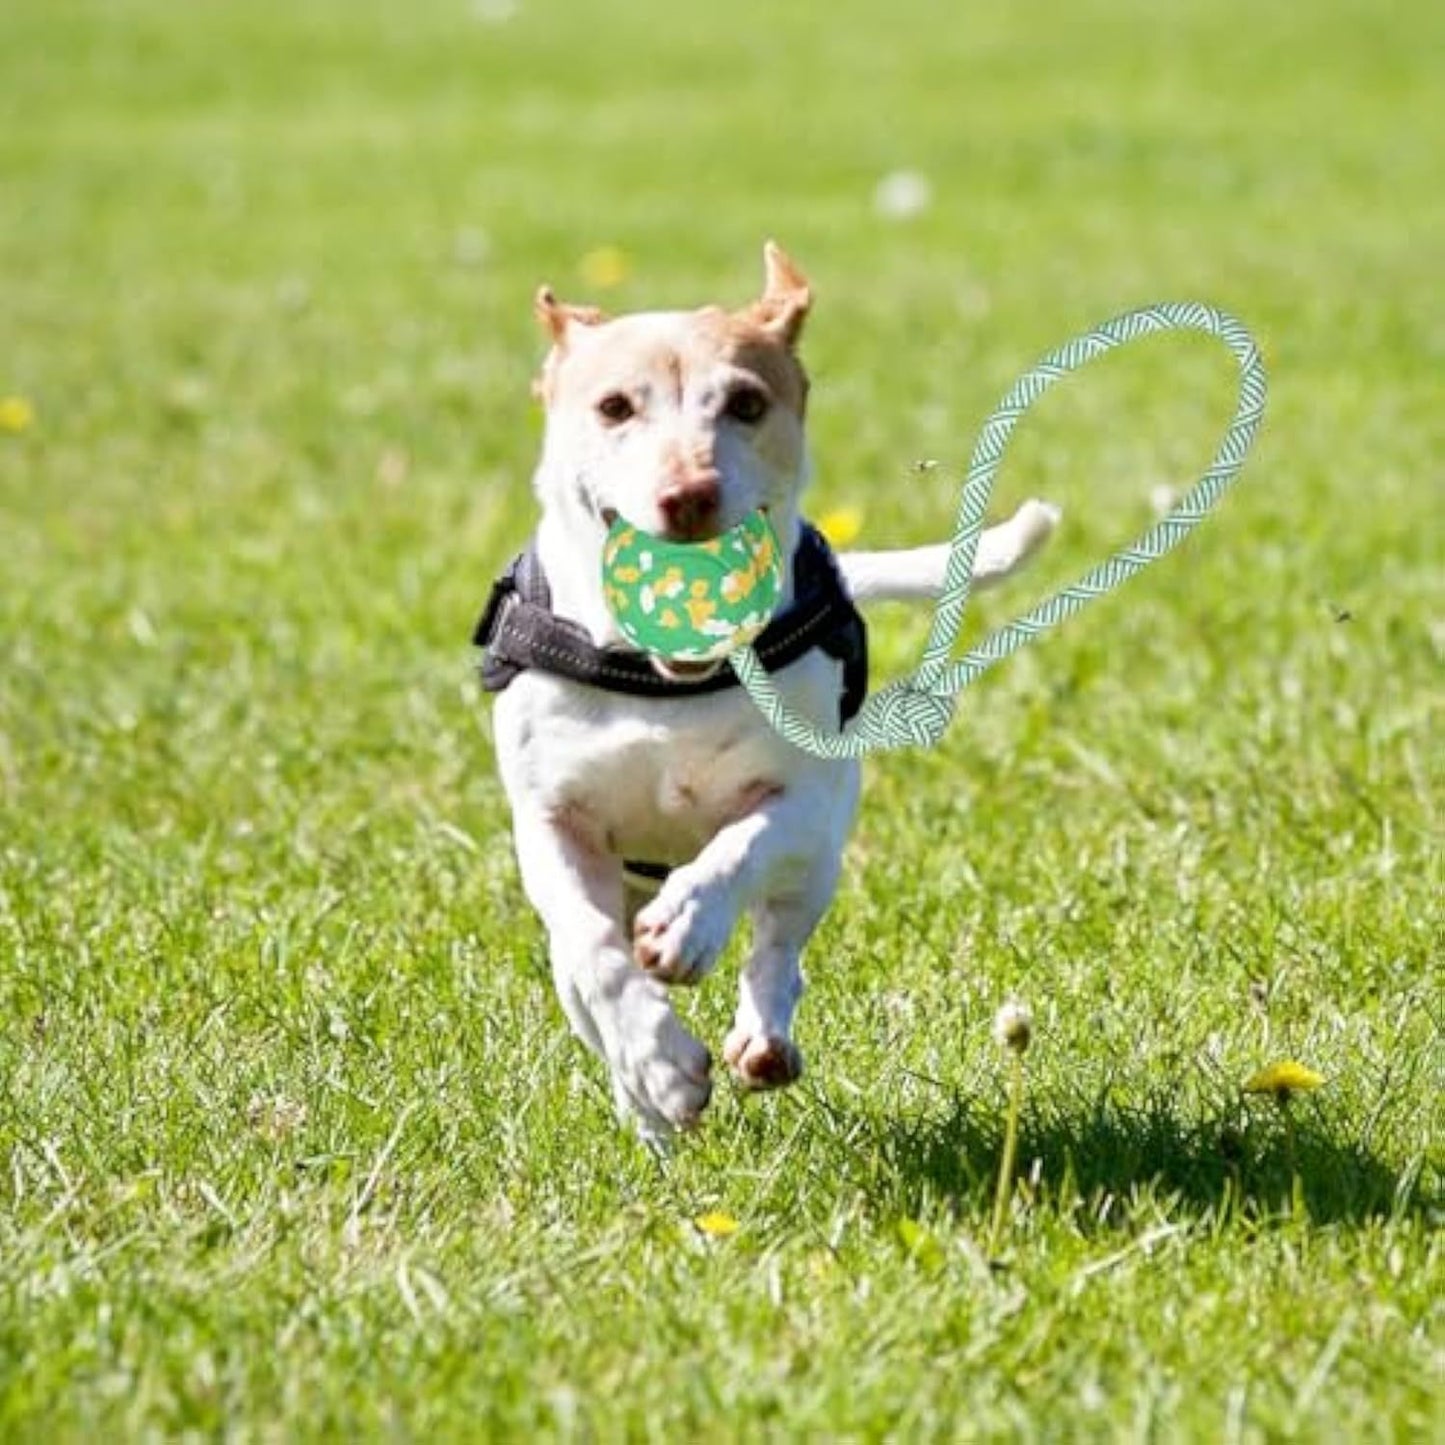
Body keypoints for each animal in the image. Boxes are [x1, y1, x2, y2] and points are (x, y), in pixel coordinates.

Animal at [479, 242, 1057, 1138]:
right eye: (614, 406)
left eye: (746, 403)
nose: (688, 494)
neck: (659, 680)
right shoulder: (550, 821)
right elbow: (595, 953)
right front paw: (660, 1066)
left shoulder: (805, 797)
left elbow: (738, 849)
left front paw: (687, 925)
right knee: (584, 980)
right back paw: (645, 1107)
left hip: (818, 860)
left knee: (779, 943)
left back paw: (761, 1036)